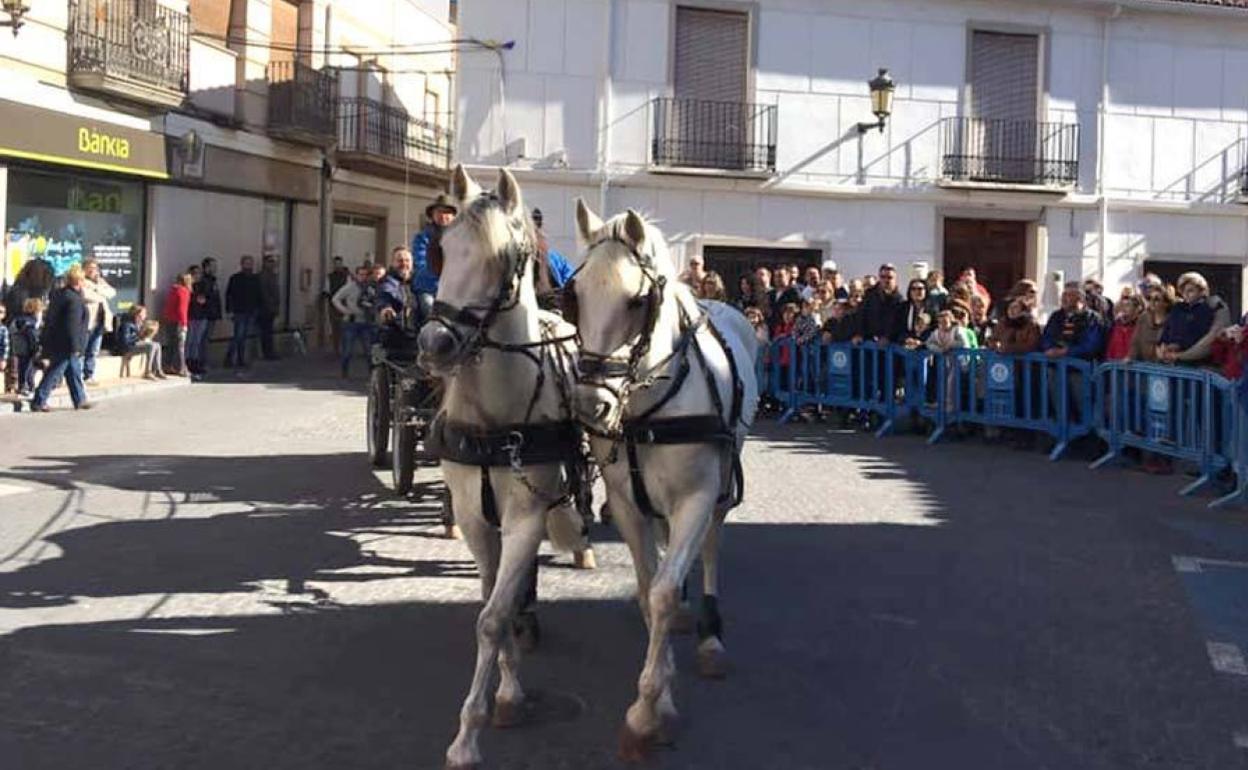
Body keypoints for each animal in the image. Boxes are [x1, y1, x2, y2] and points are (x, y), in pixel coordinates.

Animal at [419, 167, 589, 768]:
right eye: (443, 249)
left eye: (504, 259)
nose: (434, 343)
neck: (494, 417)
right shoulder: (475, 520)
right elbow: (492, 601)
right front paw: (506, 690)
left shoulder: (525, 518)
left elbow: (493, 616)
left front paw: (470, 733)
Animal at [569, 200, 758, 758]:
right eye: (573, 296)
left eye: (637, 301)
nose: (591, 406)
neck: (649, 407)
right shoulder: (627, 504)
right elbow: (648, 586)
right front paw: (662, 687)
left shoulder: (696, 496)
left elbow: (664, 590)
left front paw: (647, 711)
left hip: (721, 486)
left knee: (711, 544)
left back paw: (710, 634)